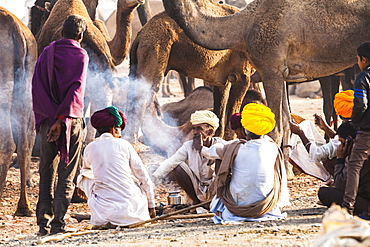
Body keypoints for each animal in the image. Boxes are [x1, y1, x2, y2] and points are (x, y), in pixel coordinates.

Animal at [123, 2, 253, 143]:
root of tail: (140, 36)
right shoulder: (242, 72)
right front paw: (230, 140)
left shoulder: (222, 78)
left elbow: (220, 107)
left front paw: (216, 138)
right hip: (155, 47)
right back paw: (132, 140)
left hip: (140, 57)